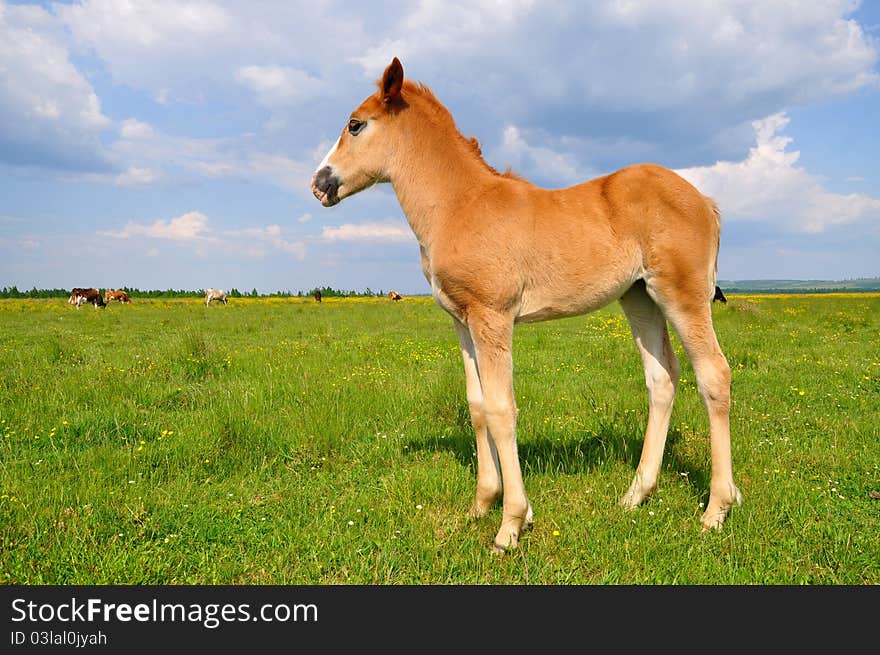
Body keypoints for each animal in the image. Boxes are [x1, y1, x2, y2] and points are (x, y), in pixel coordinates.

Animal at [310, 57, 744, 552]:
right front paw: (482, 504)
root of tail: (705, 201)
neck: (460, 204)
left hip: (682, 295)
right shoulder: (462, 321)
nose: (319, 184)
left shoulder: (493, 317)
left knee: (713, 373)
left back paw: (717, 508)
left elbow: (502, 410)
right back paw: (636, 495)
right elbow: (477, 405)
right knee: (662, 378)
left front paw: (511, 524)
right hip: (639, 297)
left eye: (355, 124)